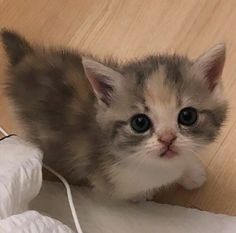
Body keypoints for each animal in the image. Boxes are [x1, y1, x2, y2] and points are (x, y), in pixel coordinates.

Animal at [0, 29, 228, 200]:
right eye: (139, 123)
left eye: (188, 116)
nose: (167, 139)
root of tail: (25, 61)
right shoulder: (113, 181)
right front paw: (147, 194)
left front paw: (191, 172)